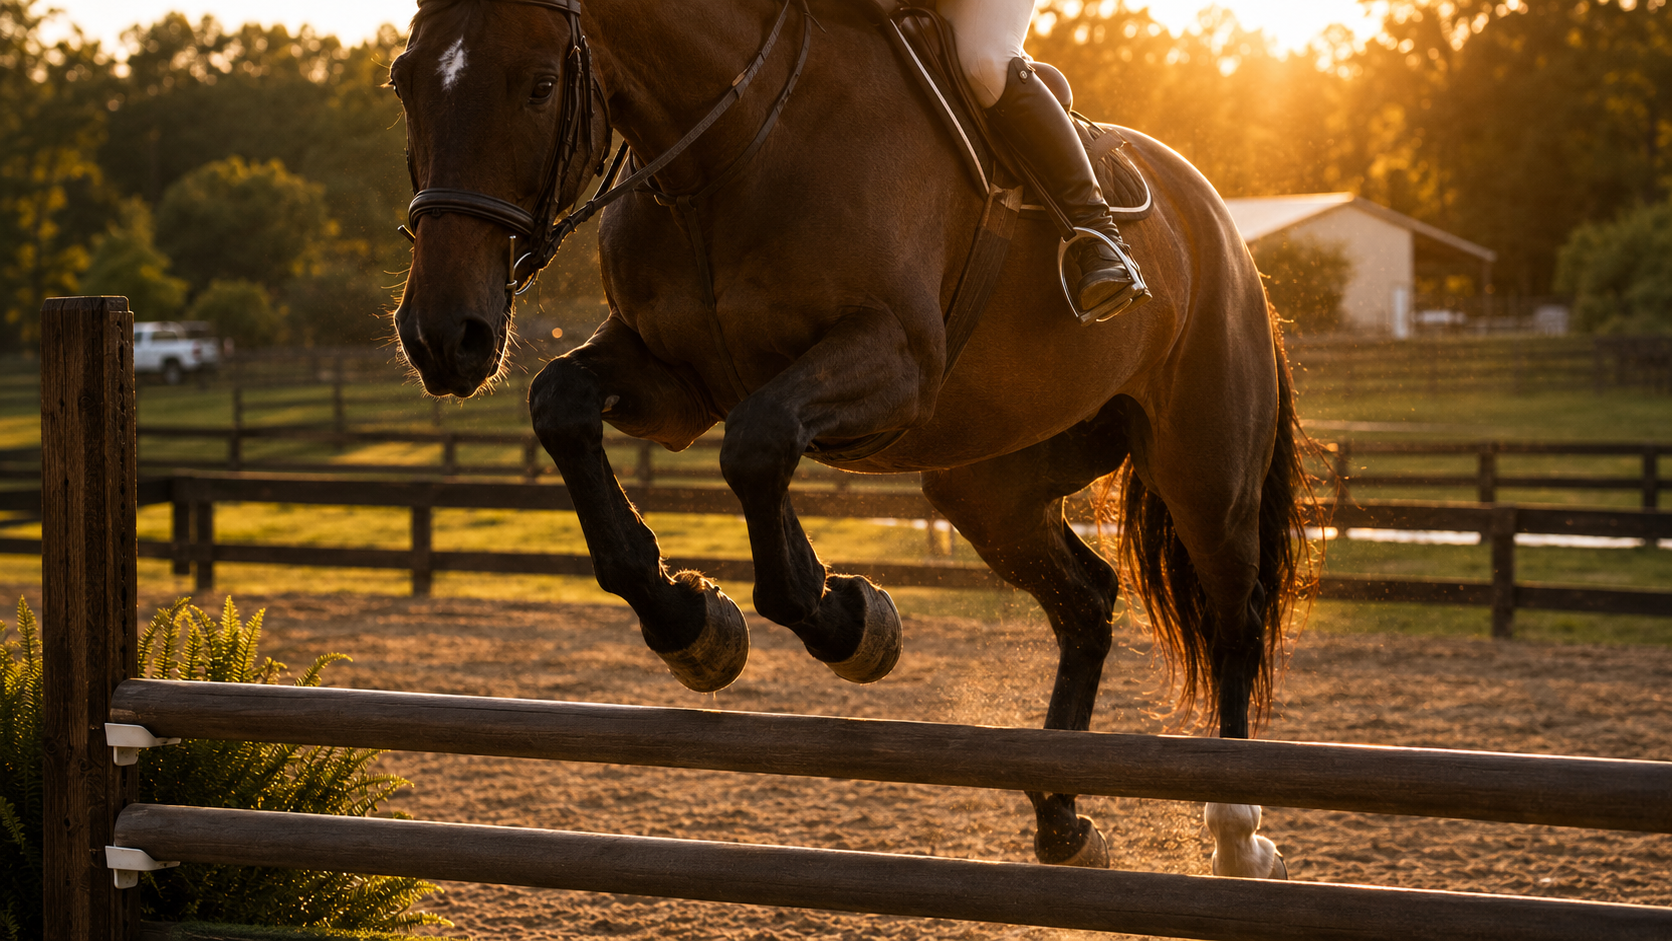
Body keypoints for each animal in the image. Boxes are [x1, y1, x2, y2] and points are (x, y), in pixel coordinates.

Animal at [389, 0, 1314, 877]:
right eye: (404, 83)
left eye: (540, 85)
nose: (443, 334)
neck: (728, 148)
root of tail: (1221, 224)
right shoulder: (676, 382)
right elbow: (565, 404)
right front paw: (692, 620)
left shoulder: (896, 361)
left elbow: (757, 444)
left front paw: (843, 620)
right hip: (988, 487)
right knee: (1085, 597)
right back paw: (1061, 817)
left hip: (1206, 467)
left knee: (1233, 612)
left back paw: (1236, 835)